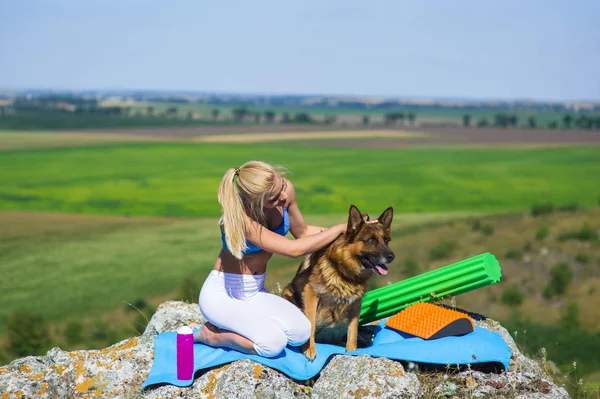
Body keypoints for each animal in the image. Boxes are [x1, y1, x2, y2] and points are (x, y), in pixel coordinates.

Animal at [282, 205, 394, 360]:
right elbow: (311, 324)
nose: (391, 256)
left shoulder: (356, 304)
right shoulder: (311, 293)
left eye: (386, 240)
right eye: (371, 240)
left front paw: (352, 351)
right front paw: (309, 349)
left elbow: (352, 331)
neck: (343, 271)